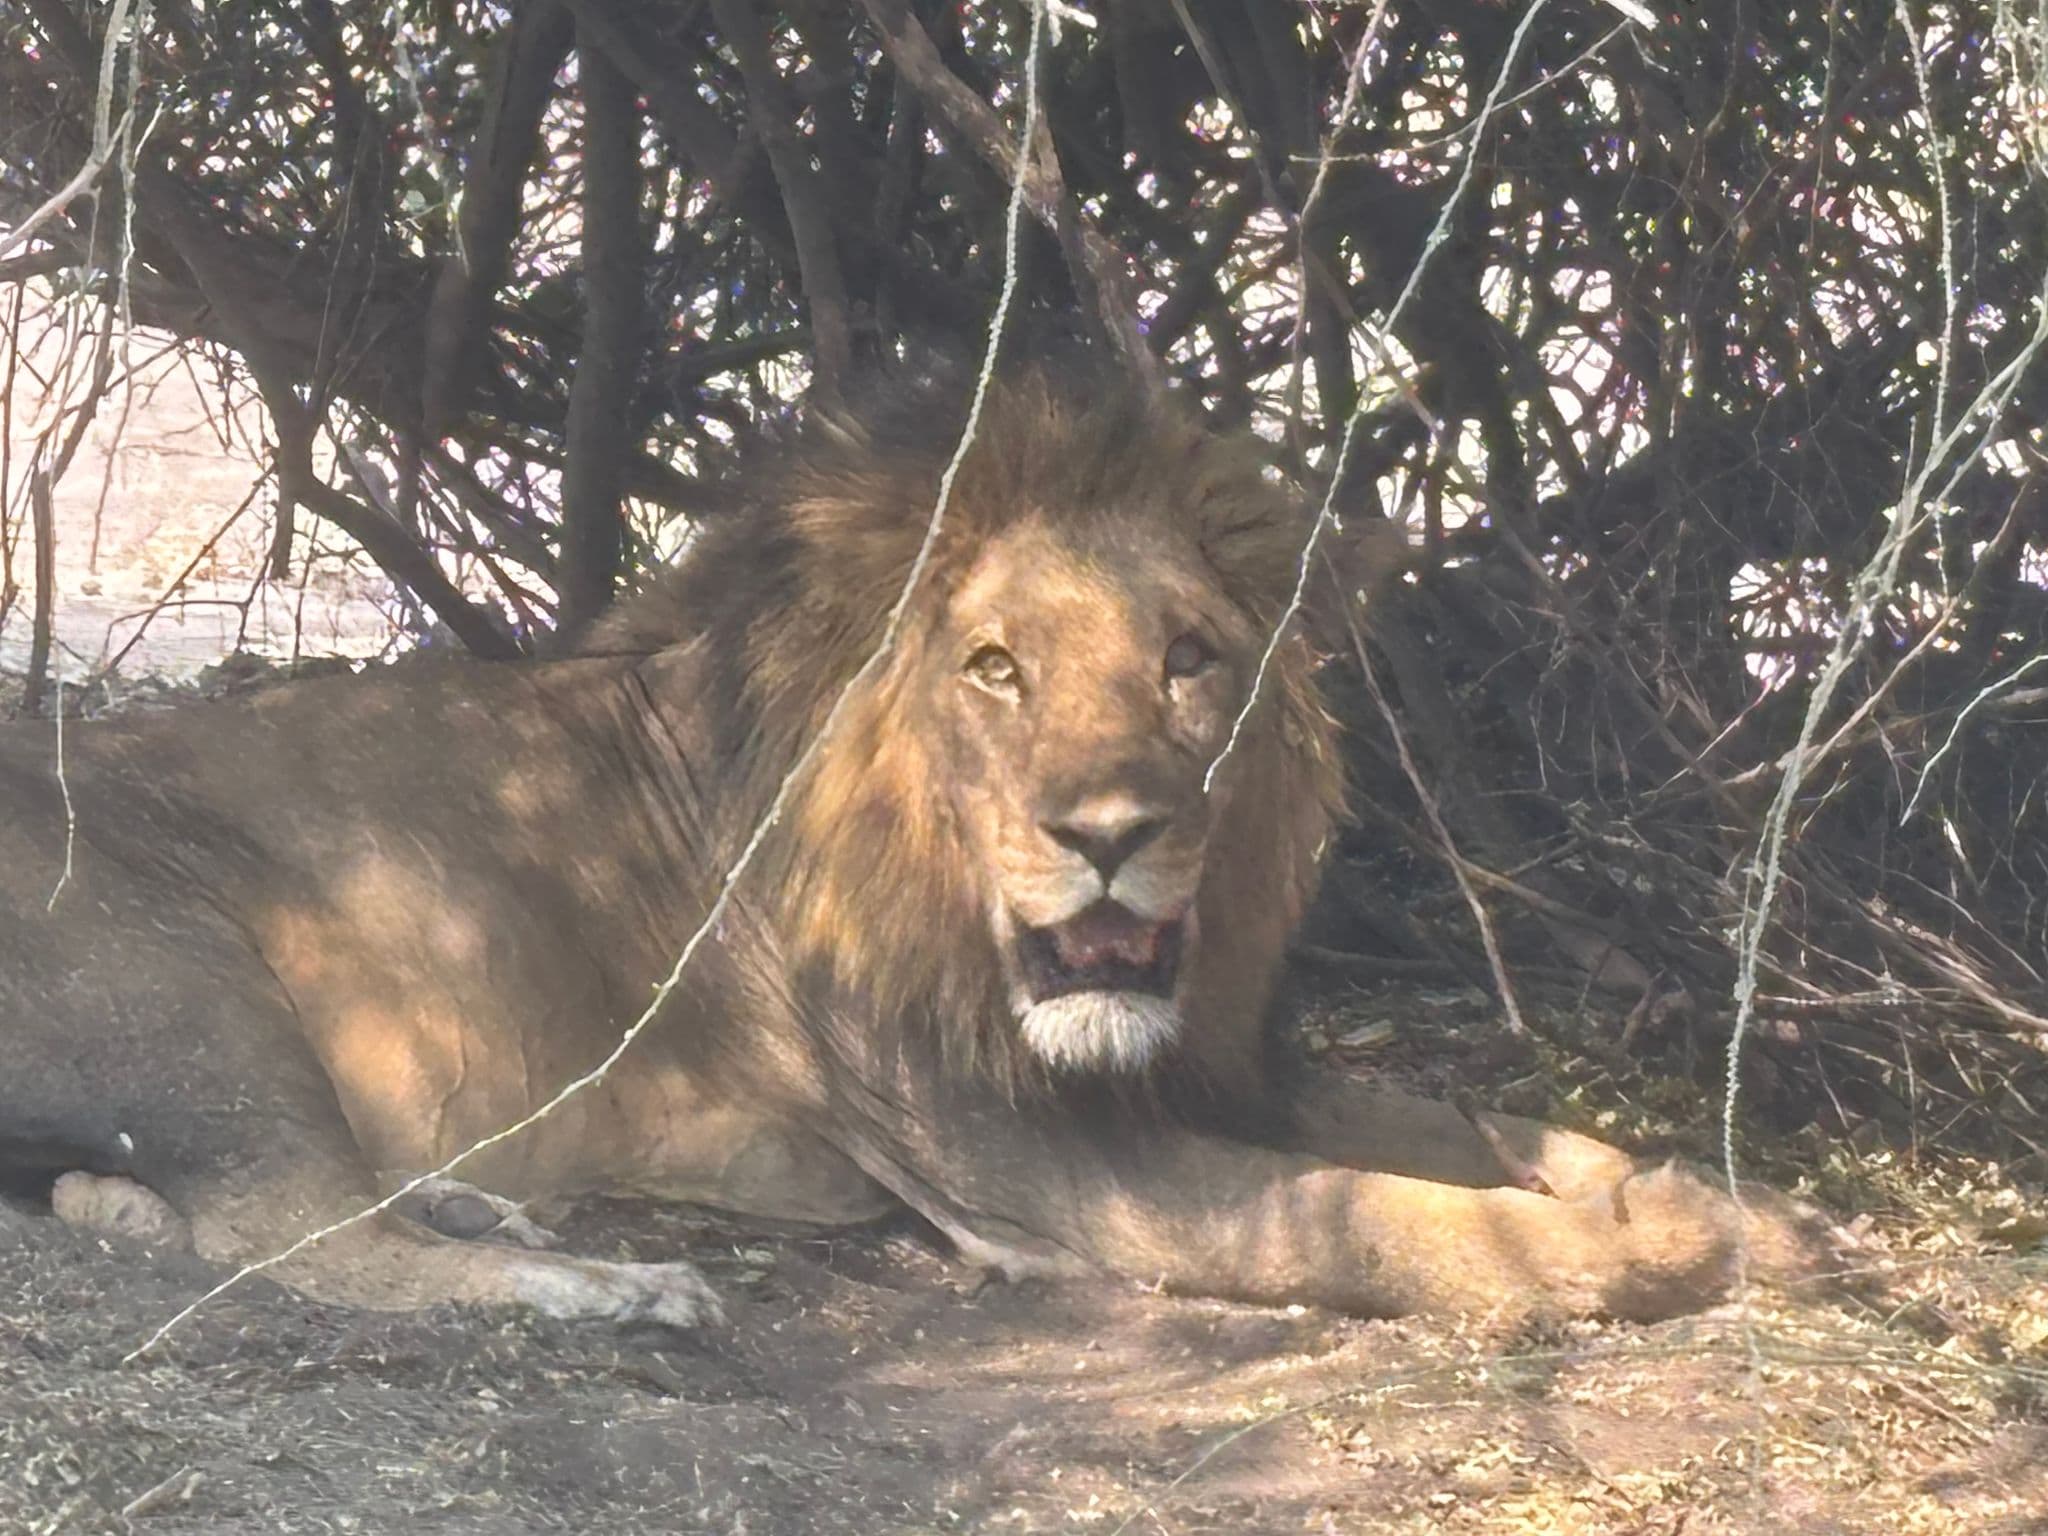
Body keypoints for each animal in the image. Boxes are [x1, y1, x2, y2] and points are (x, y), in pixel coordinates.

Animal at [0, 367, 1815, 1328]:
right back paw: (606, 1285)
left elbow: (1471, 1127)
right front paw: (1656, 1245)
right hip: (186, 964)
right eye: (992, 667)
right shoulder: (1027, 1162)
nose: (1111, 836)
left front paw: (1732, 1202)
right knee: (283, 1231)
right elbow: (1395, 1220)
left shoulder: (1214, 1065)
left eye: (1190, 658)